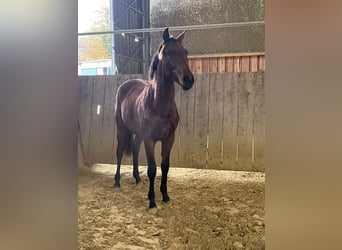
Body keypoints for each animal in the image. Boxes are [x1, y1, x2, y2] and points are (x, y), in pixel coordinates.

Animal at [114, 27, 194, 208]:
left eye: (185, 52)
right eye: (169, 52)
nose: (189, 80)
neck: (159, 104)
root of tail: (125, 85)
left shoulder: (169, 138)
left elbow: (165, 166)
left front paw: (165, 195)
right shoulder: (149, 139)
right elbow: (152, 169)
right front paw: (151, 200)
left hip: (138, 134)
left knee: (135, 148)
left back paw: (137, 178)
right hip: (121, 129)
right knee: (120, 151)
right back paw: (116, 181)